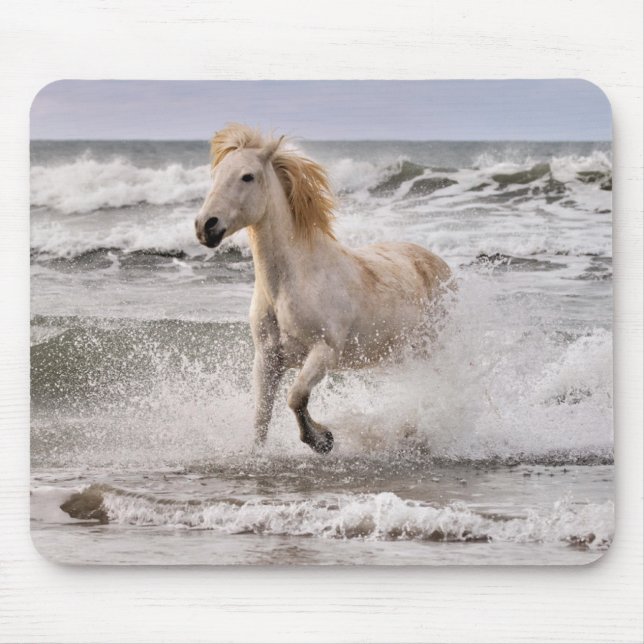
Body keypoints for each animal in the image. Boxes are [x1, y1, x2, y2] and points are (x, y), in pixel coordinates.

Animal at [195, 124, 452, 454]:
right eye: (216, 175)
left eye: (247, 176)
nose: (205, 226)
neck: (290, 283)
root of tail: (438, 263)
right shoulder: (267, 359)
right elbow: (262, 415)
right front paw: (261, 453)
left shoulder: (323, 352)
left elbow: (296, 396)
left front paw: (322, 440)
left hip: (432, 348)